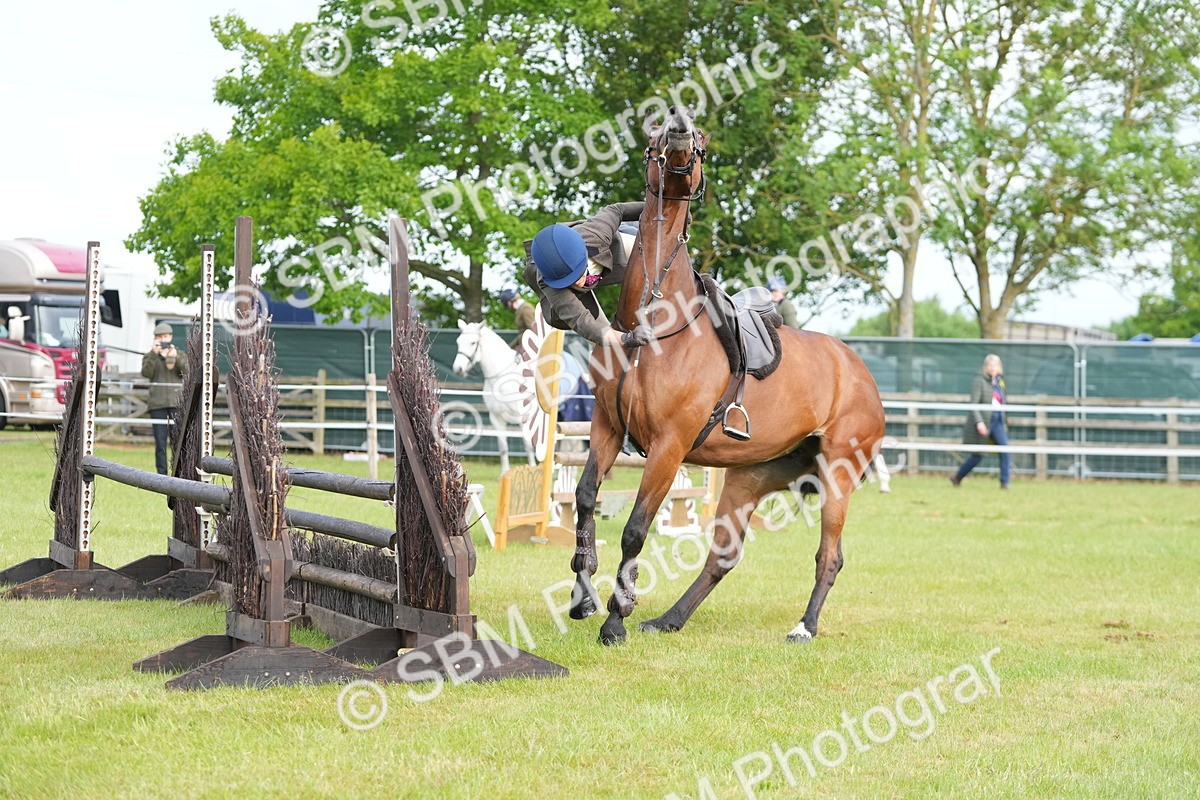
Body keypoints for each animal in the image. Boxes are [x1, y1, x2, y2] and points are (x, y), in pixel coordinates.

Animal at [452, 321, 533, 473]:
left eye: (473, 342)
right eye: (458, 342)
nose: (458, 369)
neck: (501, 378)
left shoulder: (523, 418)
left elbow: (528, 445)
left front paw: (533, 470)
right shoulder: (496, 417)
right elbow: (503, 448)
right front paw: (504, 473)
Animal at [569, 106, 887, 645]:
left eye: (699, 134)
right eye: (656, 125)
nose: (679, 126)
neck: (652, 322)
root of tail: (862, 373)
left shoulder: (669, 447)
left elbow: (635, 529)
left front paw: (616, 617)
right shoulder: (607, 428)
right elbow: (586, 498)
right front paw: (583, 591)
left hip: (838, 474)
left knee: (829, 556)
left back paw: (804, 627)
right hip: (749, 477)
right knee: (723, 556)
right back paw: (669, 619)